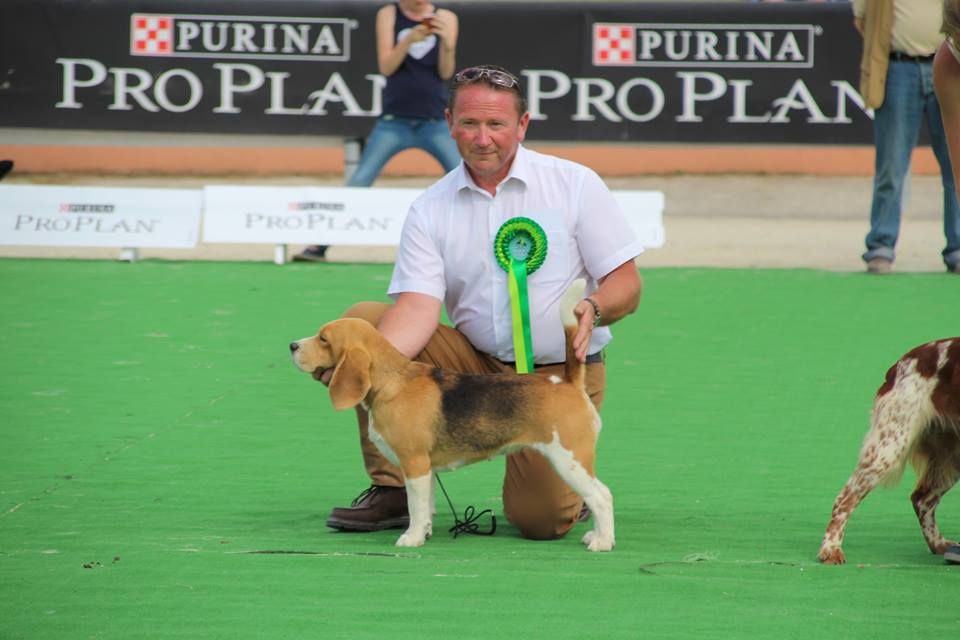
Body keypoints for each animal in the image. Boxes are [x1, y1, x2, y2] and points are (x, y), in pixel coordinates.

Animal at [288, 282, 616, 552]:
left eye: (323, 339)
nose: (292, 345)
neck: (392, 380)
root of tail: (568, 382)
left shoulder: (415, 464)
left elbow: (416, 506)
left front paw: (411, 538)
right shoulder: (426, 468)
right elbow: (426, 506)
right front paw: (425, 533)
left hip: (569, 459)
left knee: (602, 496)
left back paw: (602, 542)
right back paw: (596, 535)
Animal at [816, 338, 960, 564]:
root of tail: (899, 365)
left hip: (950, 455)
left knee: (922, 499)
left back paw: (939, 544)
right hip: (889, 447)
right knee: (843, 500)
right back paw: (830, 549)